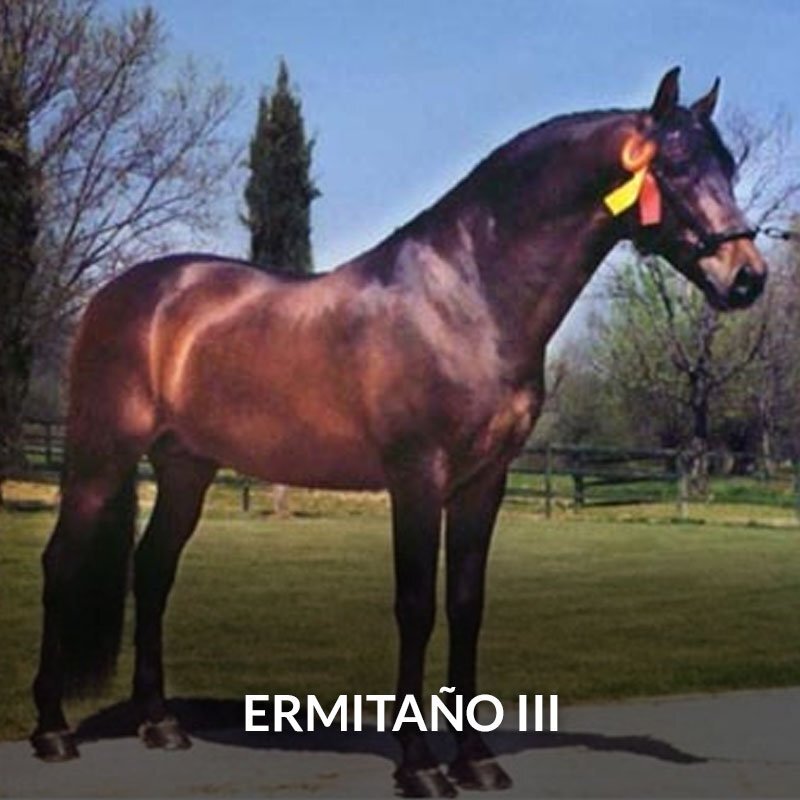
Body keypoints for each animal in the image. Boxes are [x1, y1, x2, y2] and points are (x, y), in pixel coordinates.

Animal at [31, 68, 766, 797]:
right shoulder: (416, 477)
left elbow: (466, 605)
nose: (747, 278)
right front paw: (421, 767)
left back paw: (160, 724)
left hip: (186, 466)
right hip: (101, 455)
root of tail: (119, 295)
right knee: (62, 562)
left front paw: (477, 760)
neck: (468, 299)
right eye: (675, 166)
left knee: (153, 569)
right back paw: (53, 731)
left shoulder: (483, 483)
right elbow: (416, 607)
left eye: (728, 165)